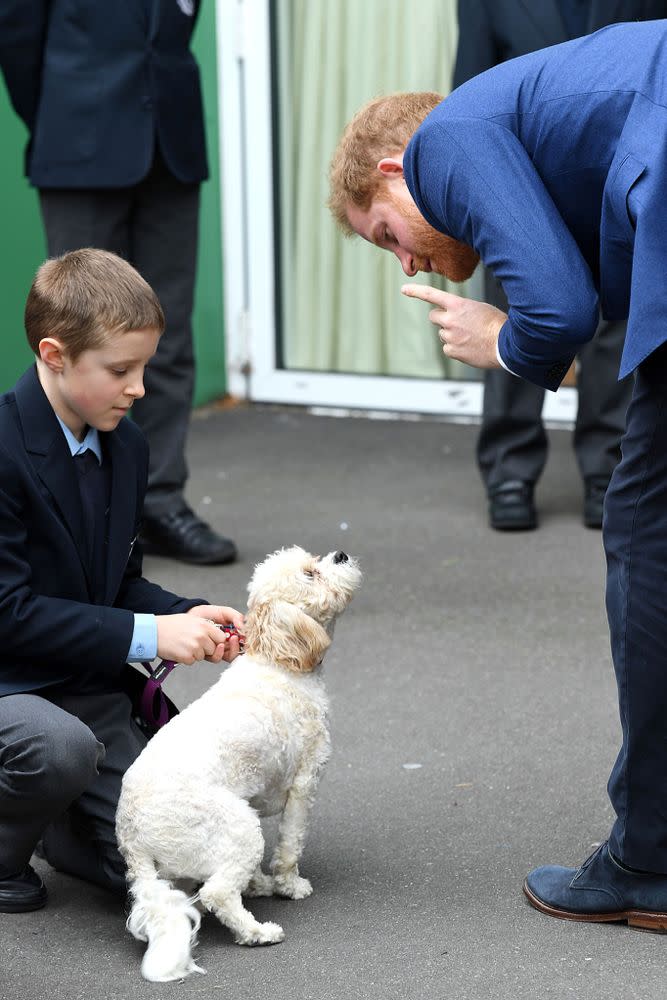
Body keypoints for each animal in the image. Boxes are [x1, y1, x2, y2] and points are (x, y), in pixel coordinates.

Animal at [117, 544, 362, 980]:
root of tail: (131, 835)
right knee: (216, 892)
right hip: (239, 826)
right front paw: (290, 886)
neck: (278, 660)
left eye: (314, 559)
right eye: (310, 574)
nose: (340, 554)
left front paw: (269, 883)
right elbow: (291, 845)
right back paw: (258, 931)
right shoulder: (304, 782)